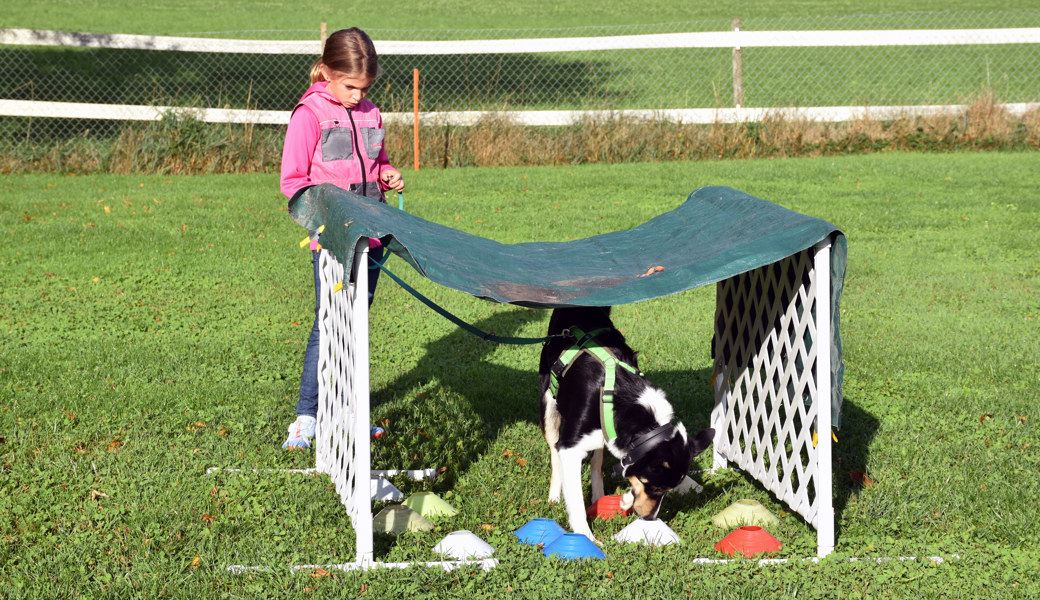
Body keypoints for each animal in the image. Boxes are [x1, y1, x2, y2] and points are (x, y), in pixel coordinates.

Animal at [536, 305, 715, 540]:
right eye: (657, 488)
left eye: (667, 491)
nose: (649, 518)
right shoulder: (570, 448)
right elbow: (575, 500)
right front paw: (586, 537)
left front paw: (624, 499)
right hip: (549, 403)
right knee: (554, 452)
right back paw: (554, 497)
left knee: (596, 461)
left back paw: (598, 496)